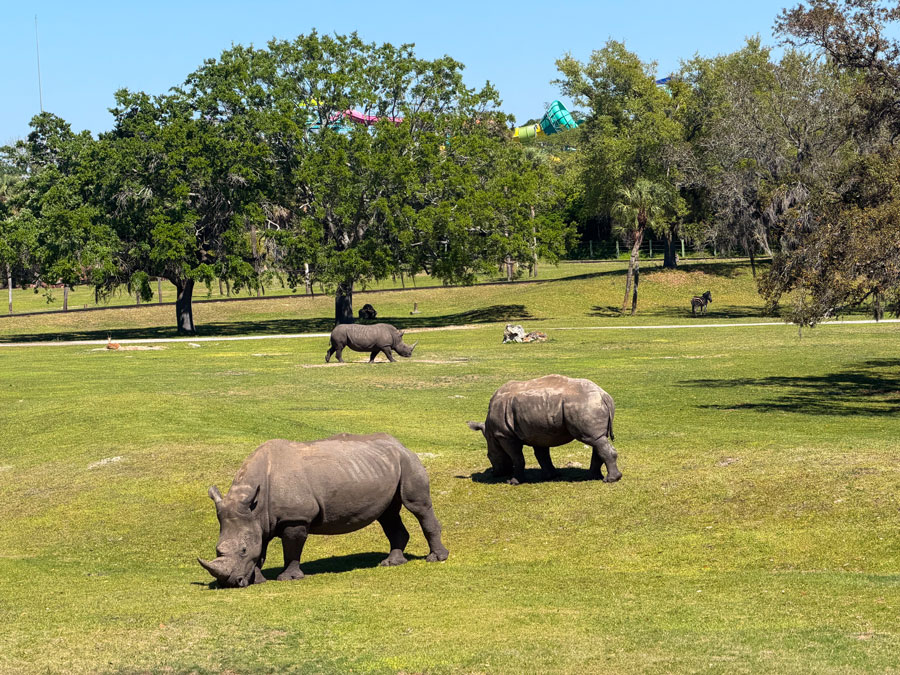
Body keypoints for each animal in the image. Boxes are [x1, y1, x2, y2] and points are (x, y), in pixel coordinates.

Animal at [198, 433, 449, 588]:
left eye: (241, 550)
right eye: (217, 549)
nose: (230, 583)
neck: (254, 505)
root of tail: (400, 444)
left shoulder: (295, 518)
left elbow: (291, 548)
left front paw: (288, 578)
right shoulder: (259, 519)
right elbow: (260, 550)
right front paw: (258, 581)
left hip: (408, 462)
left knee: (418, 506)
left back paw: (436, 559)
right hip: (383, 466)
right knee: (388, 515)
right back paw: (391, 563)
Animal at [467, 374, 621, 485]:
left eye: (489, 456)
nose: (495, 473)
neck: (491, 434)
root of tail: (604, 396)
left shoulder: (505, 435)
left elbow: (517, 457)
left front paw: (513, 482)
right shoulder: (538, 431)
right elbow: (542, 455)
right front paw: (551, 476)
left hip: (585, 404)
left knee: (594, 440)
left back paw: (610, 480)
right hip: (589, 404)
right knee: (598, 440)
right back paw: (593, 477)